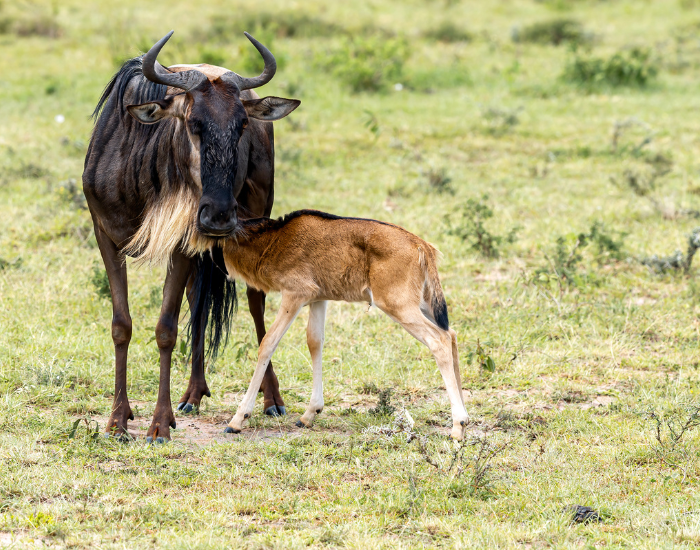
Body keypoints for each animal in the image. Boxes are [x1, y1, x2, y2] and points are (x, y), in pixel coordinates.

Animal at [83, 31, 300, 442]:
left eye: (241, 125)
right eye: (192, 123)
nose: (219, 216)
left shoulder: (182, 242)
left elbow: (166, 328)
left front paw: (159, 425)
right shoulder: (106, 237)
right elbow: (122, 325)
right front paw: (118, 420)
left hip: (256, 216)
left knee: (256, 303)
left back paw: (271, 399)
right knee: (197, 300)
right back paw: (193, 395)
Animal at [194, 210, 468, 440]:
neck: (277, 238)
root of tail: (422, 245)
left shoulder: (294, 296)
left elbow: (267, 343)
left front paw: (238, 419)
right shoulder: (318, 299)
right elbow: (314, 342)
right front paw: (310, 413)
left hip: (399, 307)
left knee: (439, 340)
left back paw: (458, 426)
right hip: (422, 306)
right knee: (452, 335)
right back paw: (465, 417)